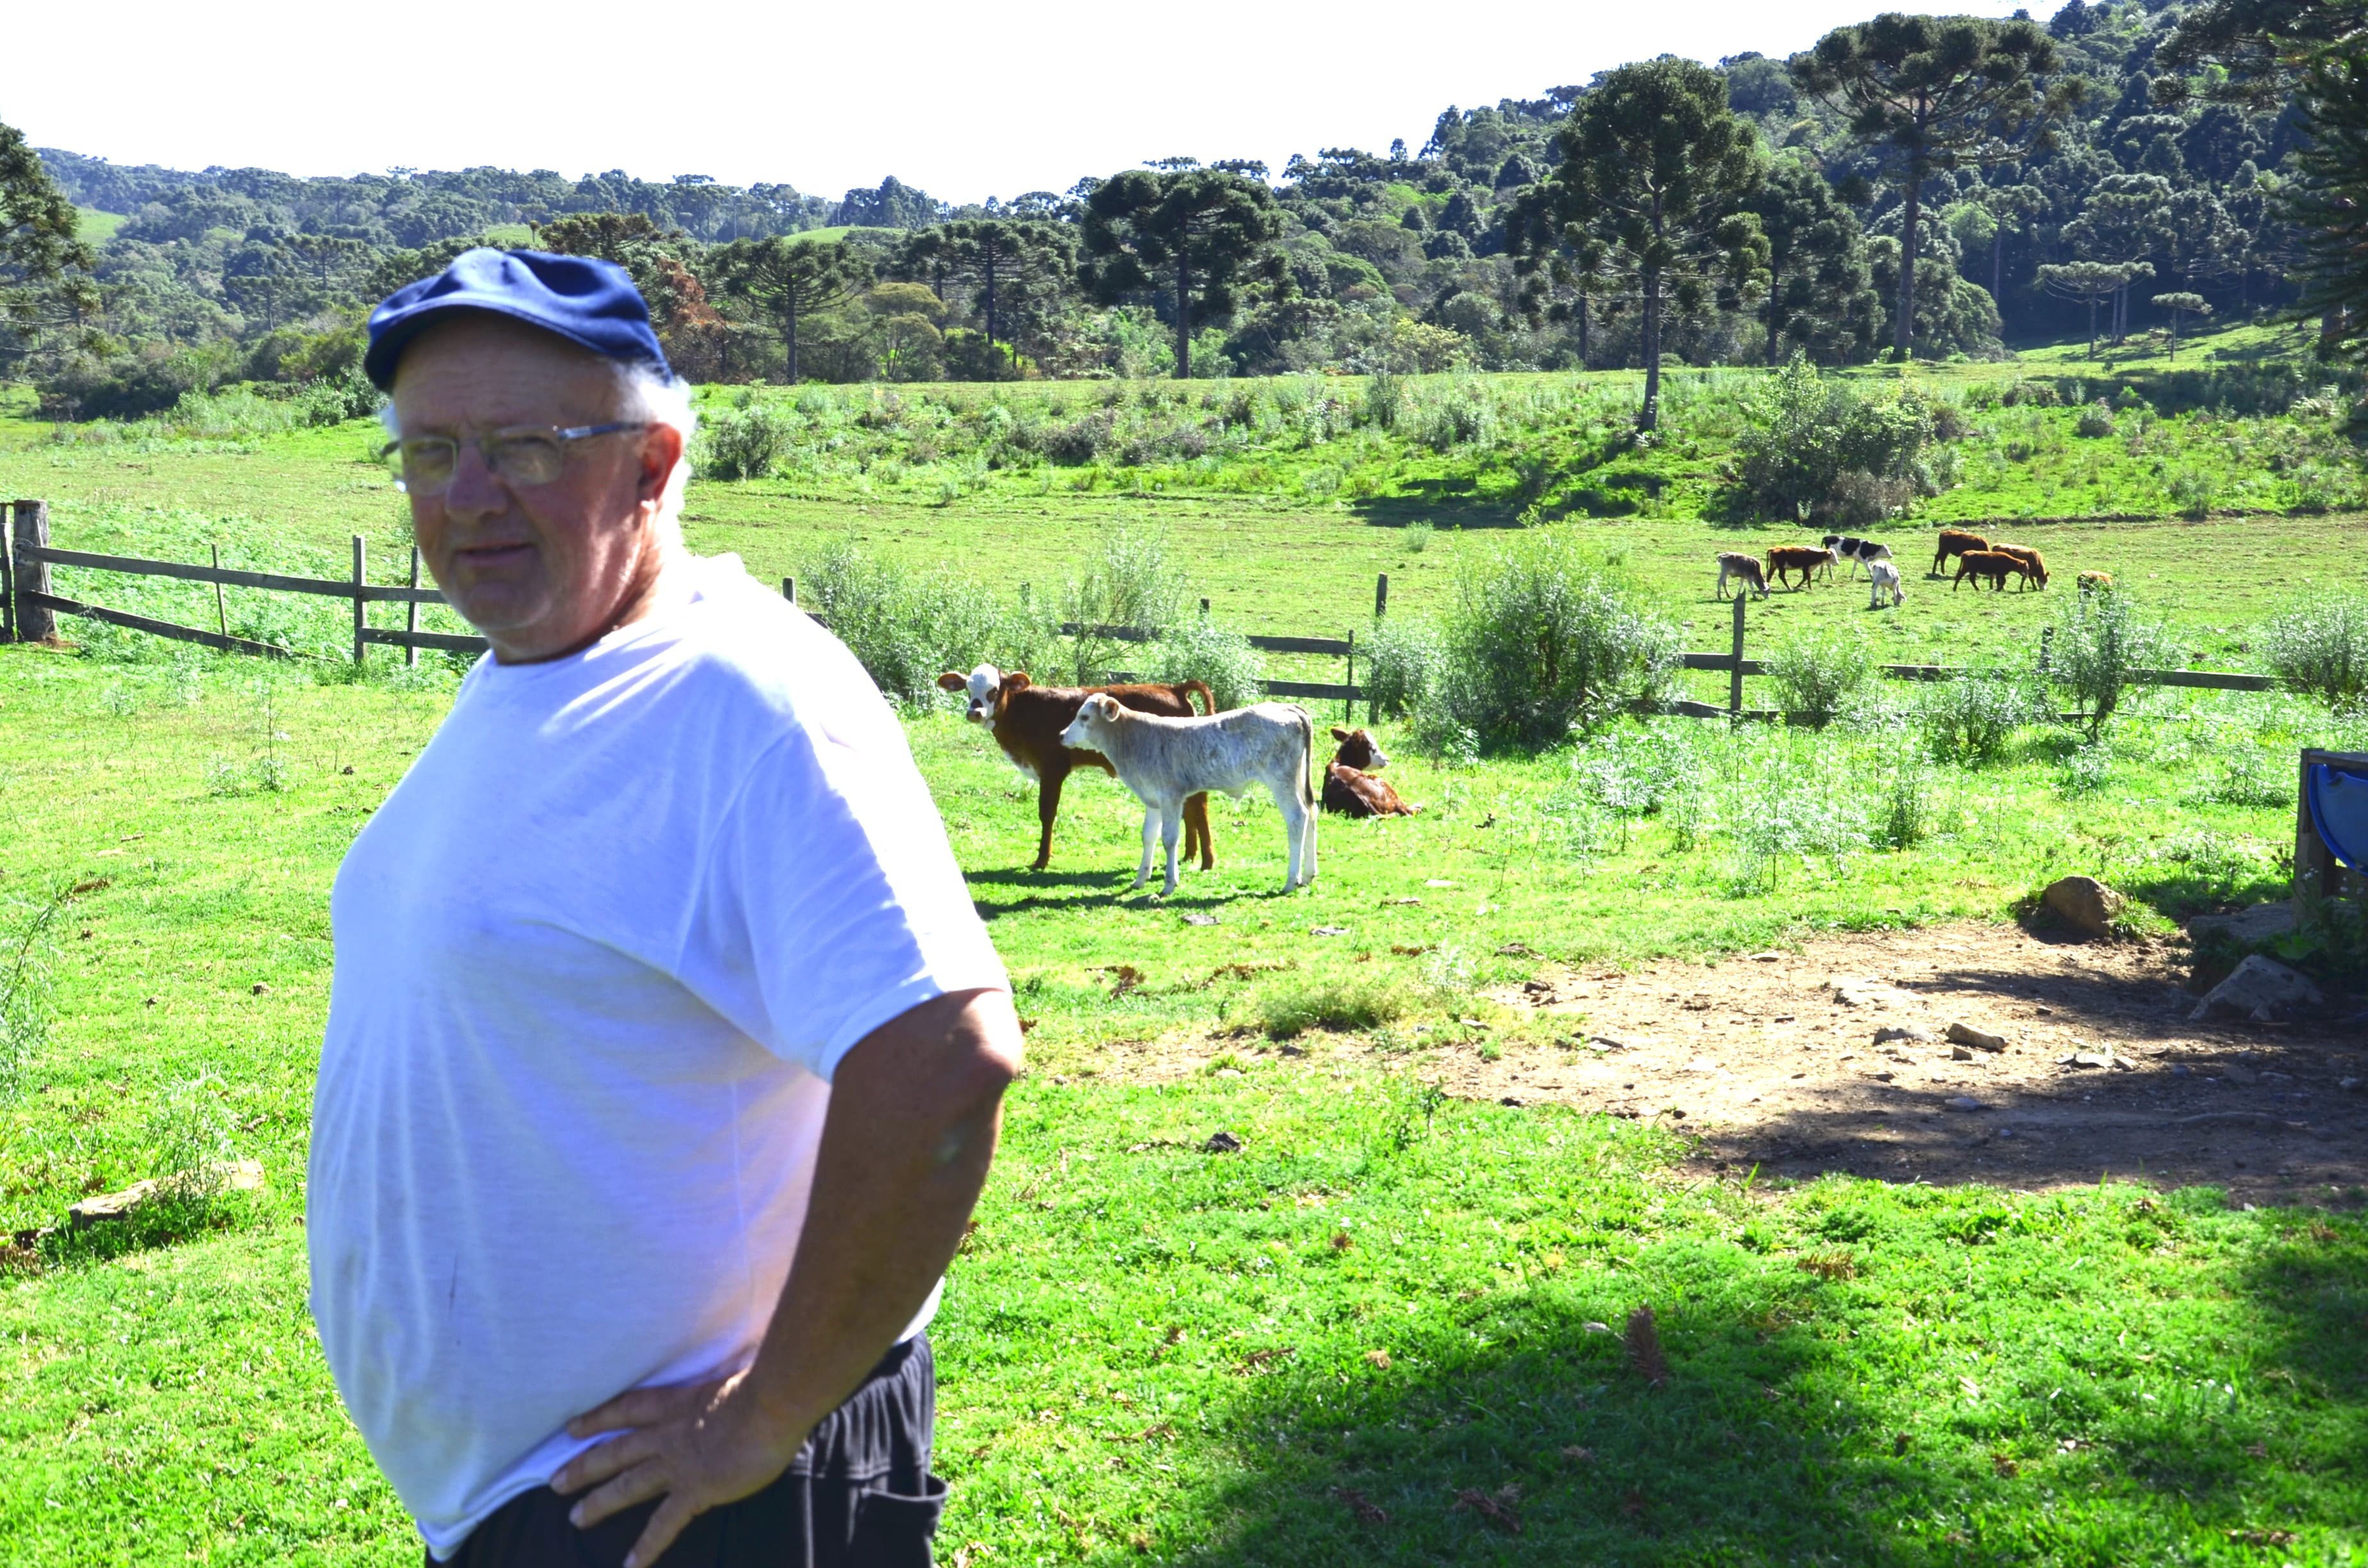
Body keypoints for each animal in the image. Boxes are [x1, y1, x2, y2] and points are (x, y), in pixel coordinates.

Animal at [933, 667, 1212, 876]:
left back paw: (1206, 861)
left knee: (1199, 807)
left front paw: (1042, 860)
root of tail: (1173, 688)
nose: (975, 712)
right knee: (1190, 808)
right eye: (969, 689)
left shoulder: (1052, 769)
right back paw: (1189, 855)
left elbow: (1047, 813)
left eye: (994, 690)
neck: (1027, 711)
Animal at [1056, 696, 1316, 895]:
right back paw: (1308, 875)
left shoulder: (1171, 796)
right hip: (1299, 778)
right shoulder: (1153, 799)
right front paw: (1140, 879)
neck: (1137, 739)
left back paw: (1291, 880)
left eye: (1085, 717)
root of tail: (1287, 707)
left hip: (1280, 779)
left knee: (1298, 818)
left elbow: (1169, 839)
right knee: (1312, 813)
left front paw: (1169, 884)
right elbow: (1148, 836)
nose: (1061, 735)